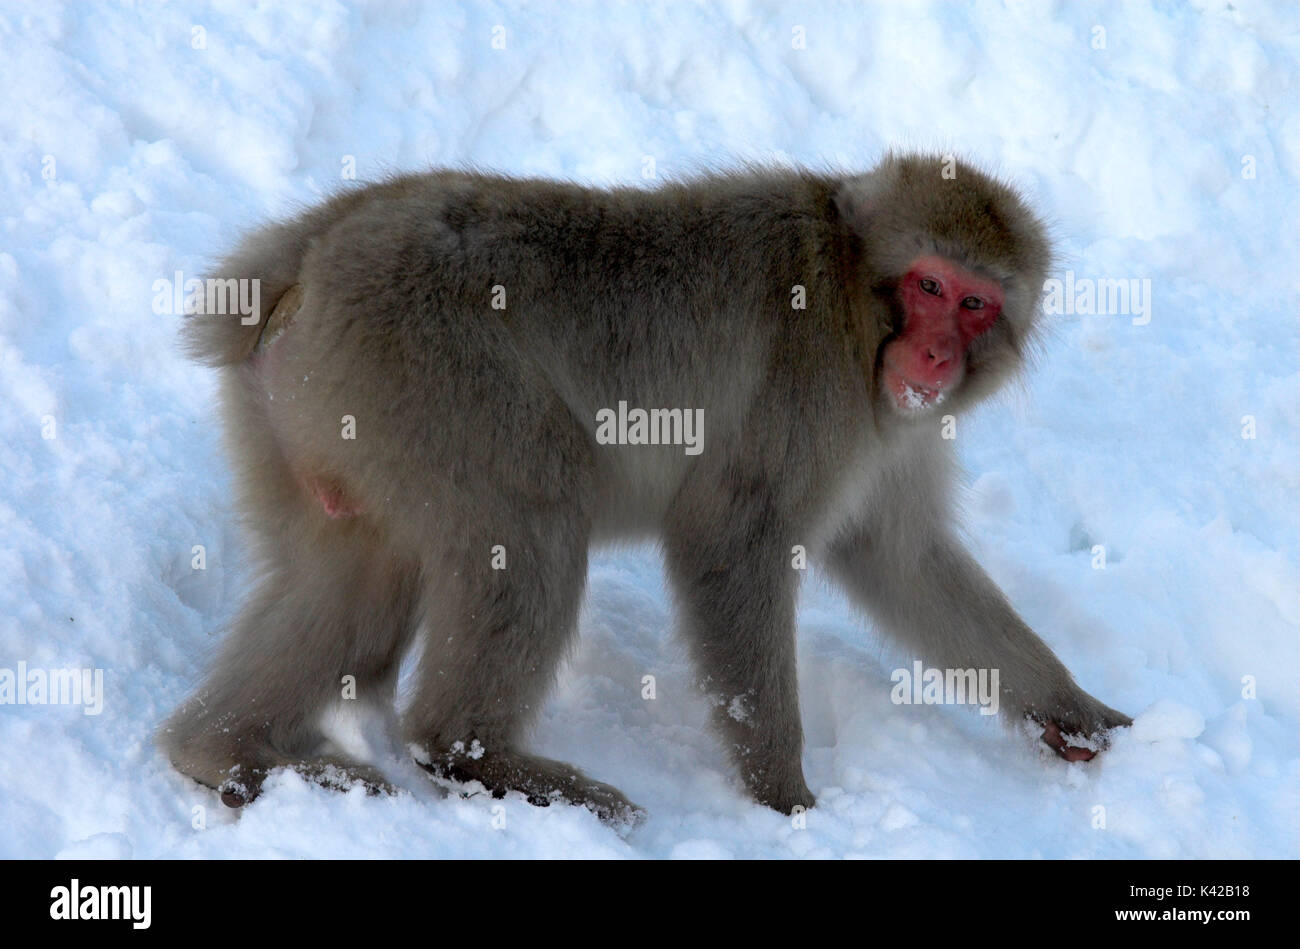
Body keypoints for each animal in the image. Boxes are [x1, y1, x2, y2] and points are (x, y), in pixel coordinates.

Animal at [160, 152, 1131, 823]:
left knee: (353, 576)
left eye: (974, 304)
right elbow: (728, 537)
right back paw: (475, 757)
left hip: (316, 420)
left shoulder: (893, 430)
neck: (856, 303)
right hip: (419, 371)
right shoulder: (810, 387)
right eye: (930, 283)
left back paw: (226, 754)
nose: (933, 355)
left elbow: (899, 555)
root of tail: (307, 255)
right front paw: (786, 798)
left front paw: (1069, 710)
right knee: (537, 512)